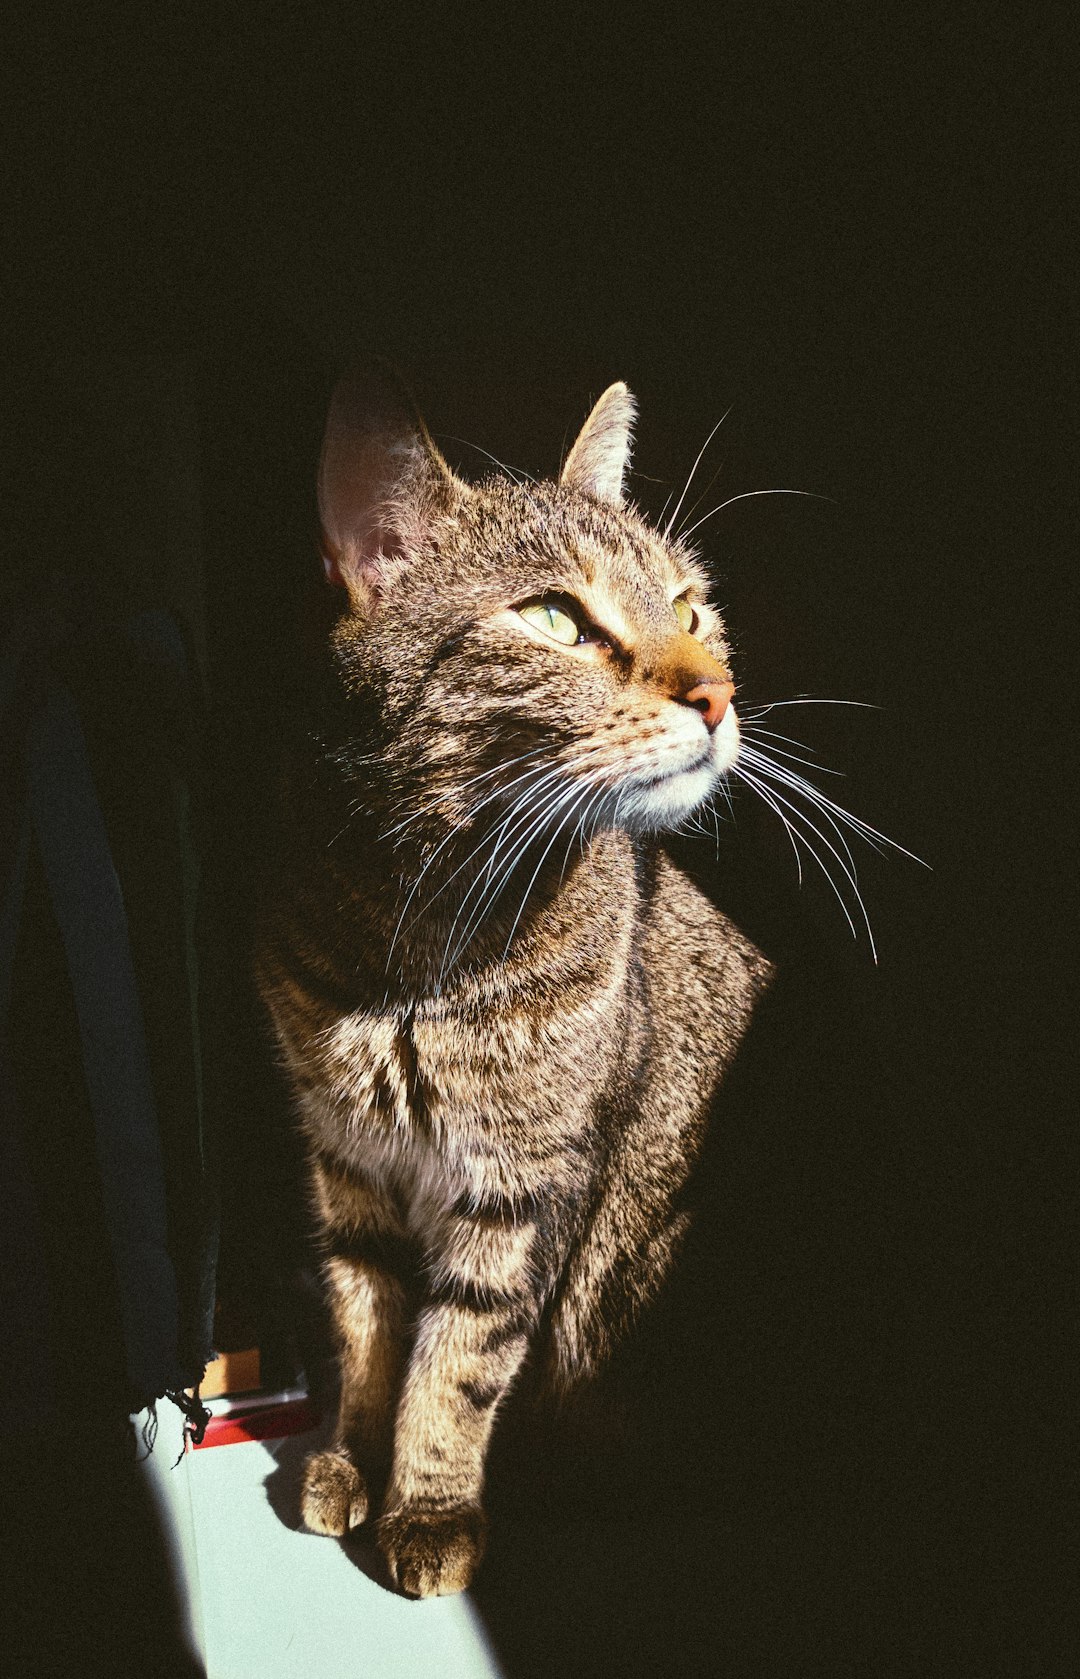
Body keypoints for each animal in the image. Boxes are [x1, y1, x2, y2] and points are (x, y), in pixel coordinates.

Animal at [256, 367, 772, 1598]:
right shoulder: (344, 1158)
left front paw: (428, 1505)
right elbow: (365, 1323)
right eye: (554, 620)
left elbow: (457, 1359)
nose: (720, 693)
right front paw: (349, 1455)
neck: (423, 938)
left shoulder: (523, 1183)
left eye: (690, 607)